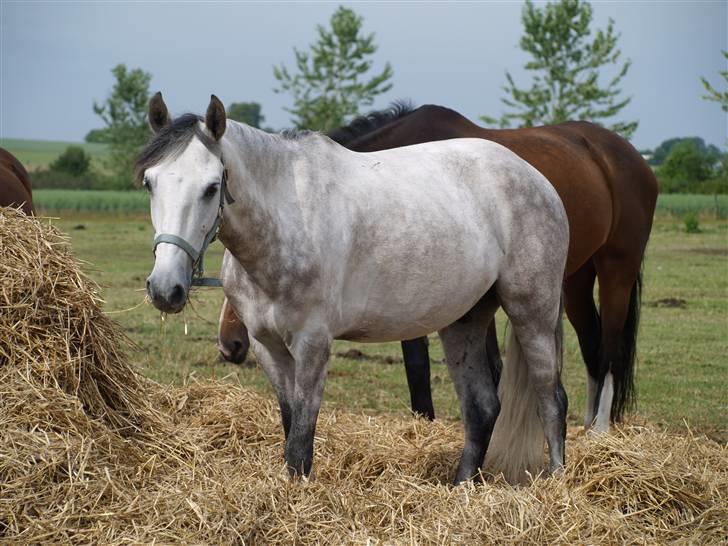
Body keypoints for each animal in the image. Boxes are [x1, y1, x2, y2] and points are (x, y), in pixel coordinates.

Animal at [219, 103, 656, 430]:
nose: (230, 343)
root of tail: (626, 155)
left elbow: (427, 368)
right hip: (575, 280)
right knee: (592, 345)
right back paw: (586, 424)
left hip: (616, 268)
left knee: (610, 347)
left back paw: (600, 430)